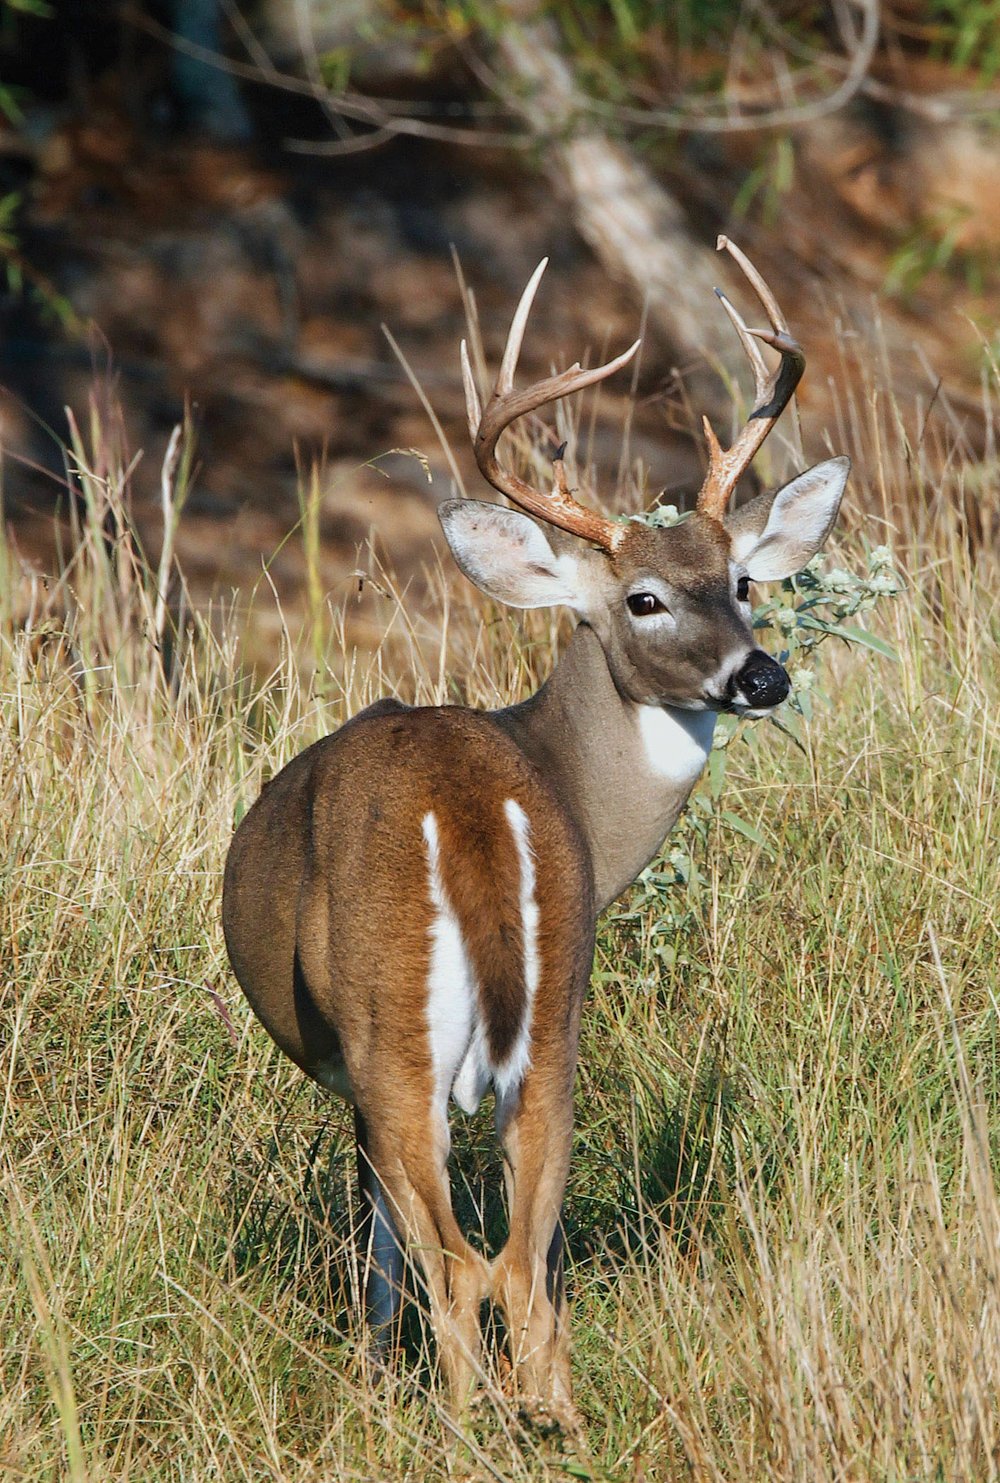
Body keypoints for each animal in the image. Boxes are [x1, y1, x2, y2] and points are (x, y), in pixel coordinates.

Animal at [222, 236, 850, 1436]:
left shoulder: (354, 1072)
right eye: (646, 598)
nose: (763, 675)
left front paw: (373, 1384)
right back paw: (552, 1419)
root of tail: (469, 812)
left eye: (743, 579)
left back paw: (464, 1428)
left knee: (460, 1263)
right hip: (557, 1017)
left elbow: (380, 1253)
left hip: (389, 1023)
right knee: (524, 1266)